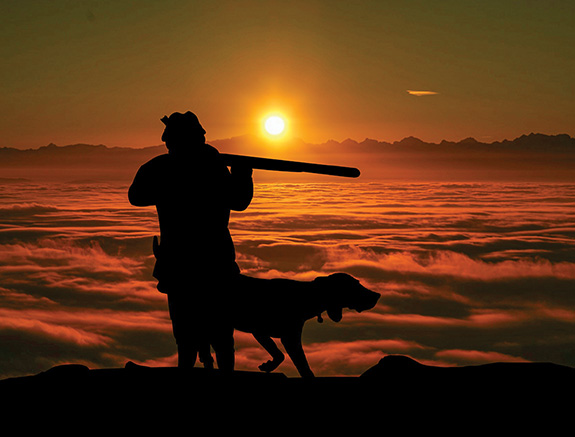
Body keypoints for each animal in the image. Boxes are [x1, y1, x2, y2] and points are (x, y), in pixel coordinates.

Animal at [225, 274, 382, 376]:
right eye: (355, 285)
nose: (377, 295)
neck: (307, 297)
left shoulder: (284, 337)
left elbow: (295, 362)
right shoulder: (267, 333)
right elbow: (290, 359)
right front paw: (269, 365)